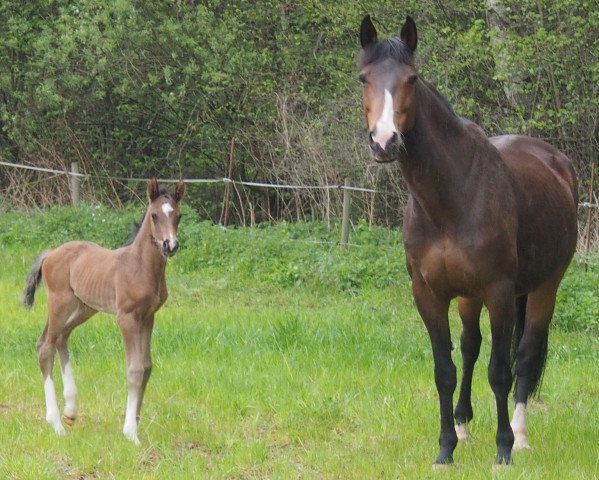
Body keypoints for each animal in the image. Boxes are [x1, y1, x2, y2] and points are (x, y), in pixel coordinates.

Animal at [22, 178, 185, 444]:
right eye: (154, 215)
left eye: (178, 216)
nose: (170, 245)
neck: (140, 266)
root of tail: (50, 253)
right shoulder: (127, 318)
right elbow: (134, 369)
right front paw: (130, 432)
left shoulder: (148, 317)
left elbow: (147, 366)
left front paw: (136, 420)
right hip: (59, 303)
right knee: (45, 346)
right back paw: (55, 423)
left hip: (84, 307)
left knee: (60, 338)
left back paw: (70, 410)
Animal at [358, 15, 580, 464]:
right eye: (363, 78)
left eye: (411, 78)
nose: (384, 141)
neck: (451, 198)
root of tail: (556, 161)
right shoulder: (429, 294)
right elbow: (446, 369)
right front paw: (445, 449)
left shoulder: (498, 292)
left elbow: (500, 372)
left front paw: (503, 450)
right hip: (467, 296)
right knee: (470, 347)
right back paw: (462, 424)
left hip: (546, 285)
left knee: (525, 355)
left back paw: (521, 434)